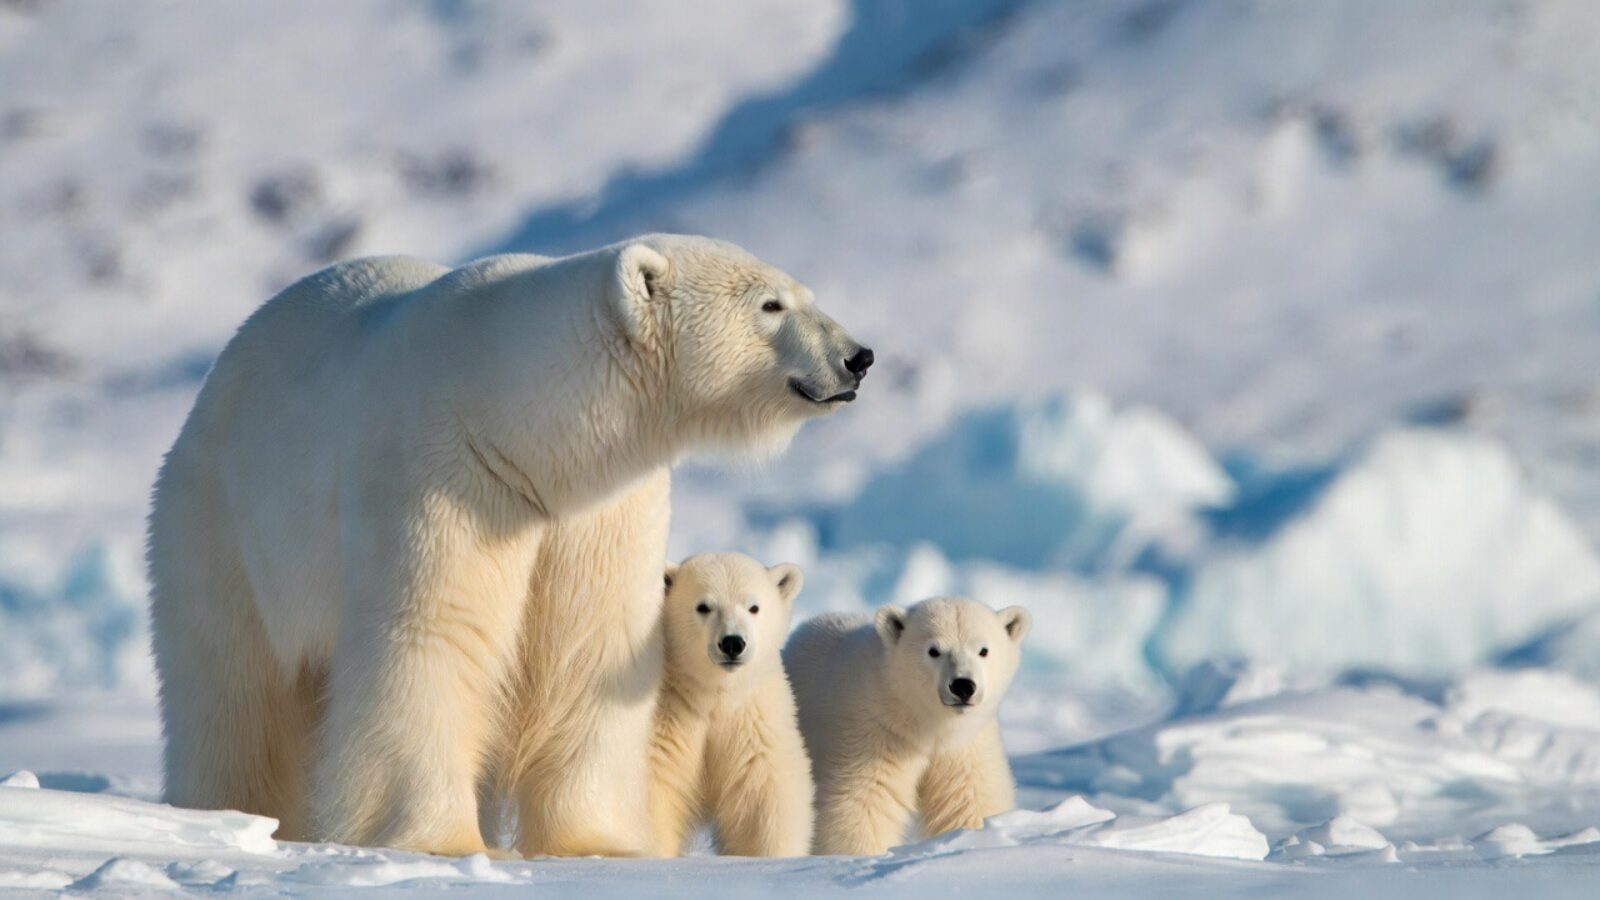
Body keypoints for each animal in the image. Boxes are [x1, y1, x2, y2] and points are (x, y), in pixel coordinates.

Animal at [646, 552, 814, 858]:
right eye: (703, 606)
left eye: (753, 607)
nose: (732, 643)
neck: (715, 695)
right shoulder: (668, 714)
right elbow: (656, 789)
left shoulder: (752, 721)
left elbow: (763, 798)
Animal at [782, 597, 1030, 856]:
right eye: (933, 651)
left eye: (983, 650)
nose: (962, 685)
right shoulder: (874, 730)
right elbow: (864, 801)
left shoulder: (967, 743)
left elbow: (970, 798)